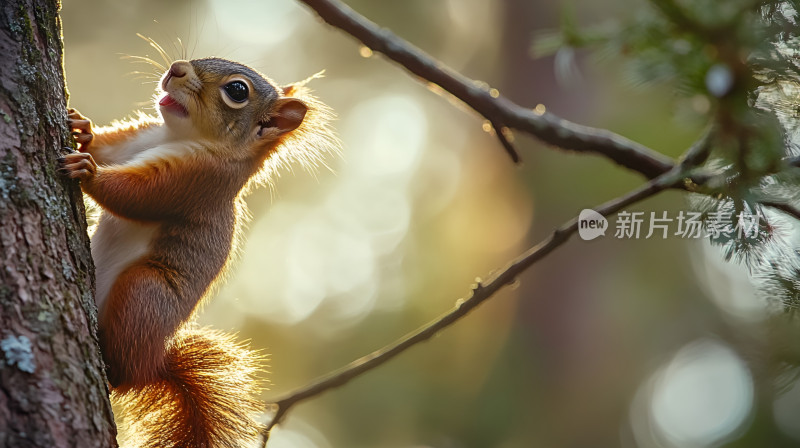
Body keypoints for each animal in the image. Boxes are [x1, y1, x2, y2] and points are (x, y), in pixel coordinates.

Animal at [58, 58, 338, 448]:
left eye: (237, 90)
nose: (176, 68)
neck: (176, 136)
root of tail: (154, 364)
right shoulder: (135, 143)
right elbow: (106, 149)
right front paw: (82, 128)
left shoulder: (197, 181)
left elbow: (137, 196)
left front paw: (88, 171)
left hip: (143, 290)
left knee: (121, 371)